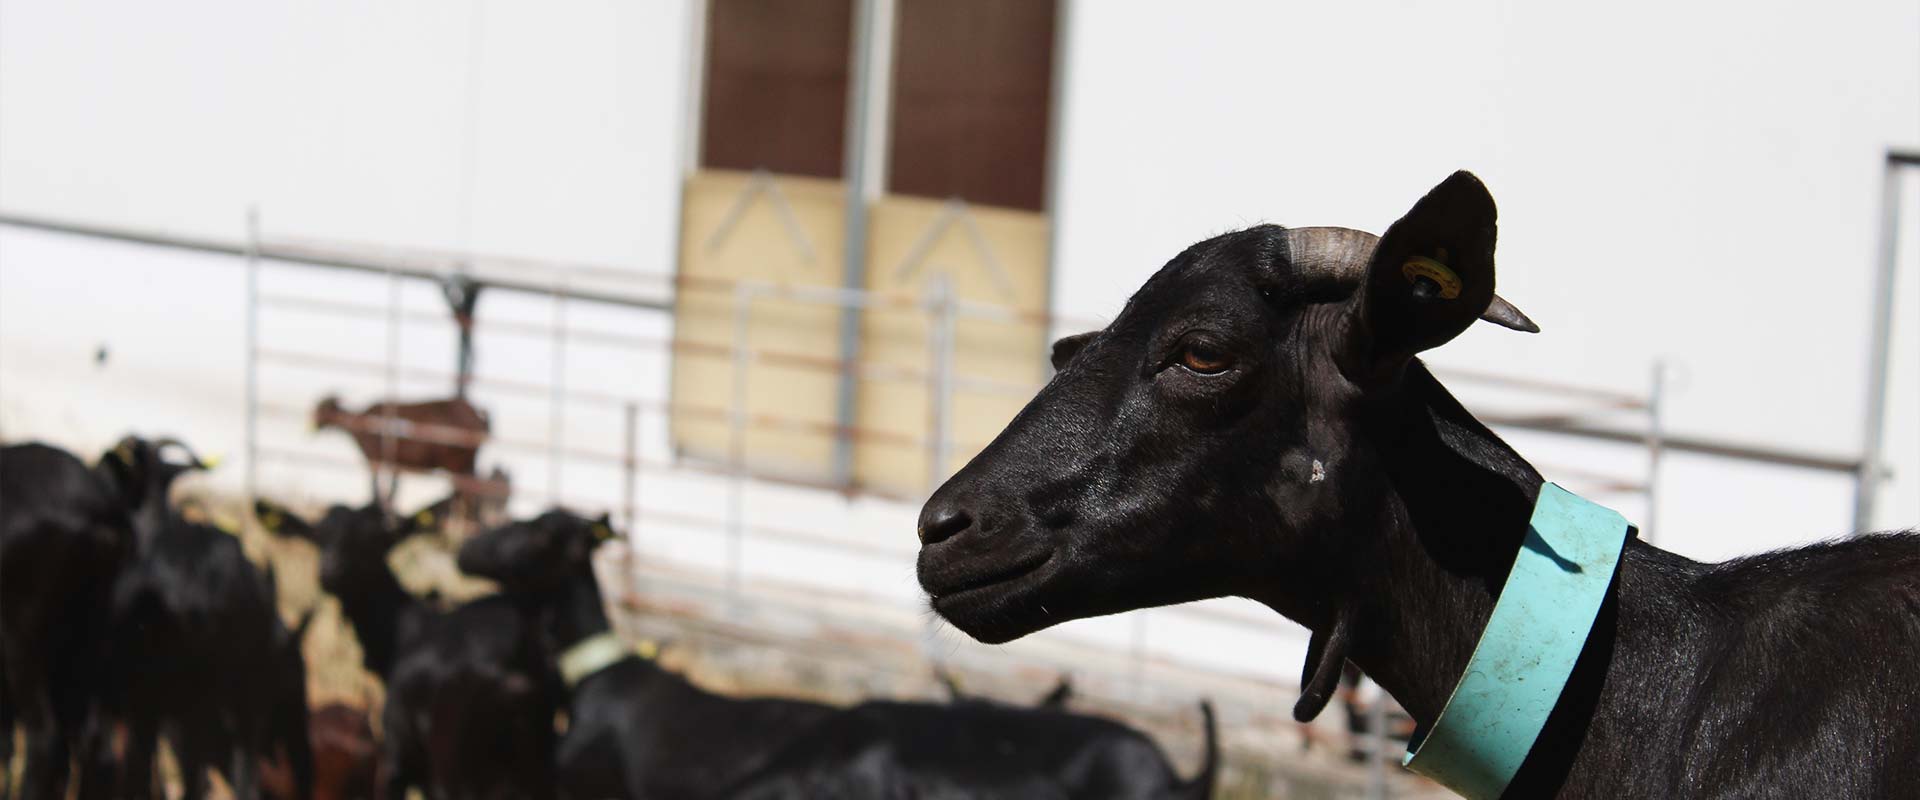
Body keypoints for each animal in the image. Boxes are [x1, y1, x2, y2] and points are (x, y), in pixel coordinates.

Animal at [311, 395, 490, 509]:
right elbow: (392, 489)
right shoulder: (394, 463)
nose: (313, 426)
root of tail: (477, 414)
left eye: (322, 409)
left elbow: (376, 488)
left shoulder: (374, 459)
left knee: (464, 491)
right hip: (466, 463)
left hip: (456, 463)